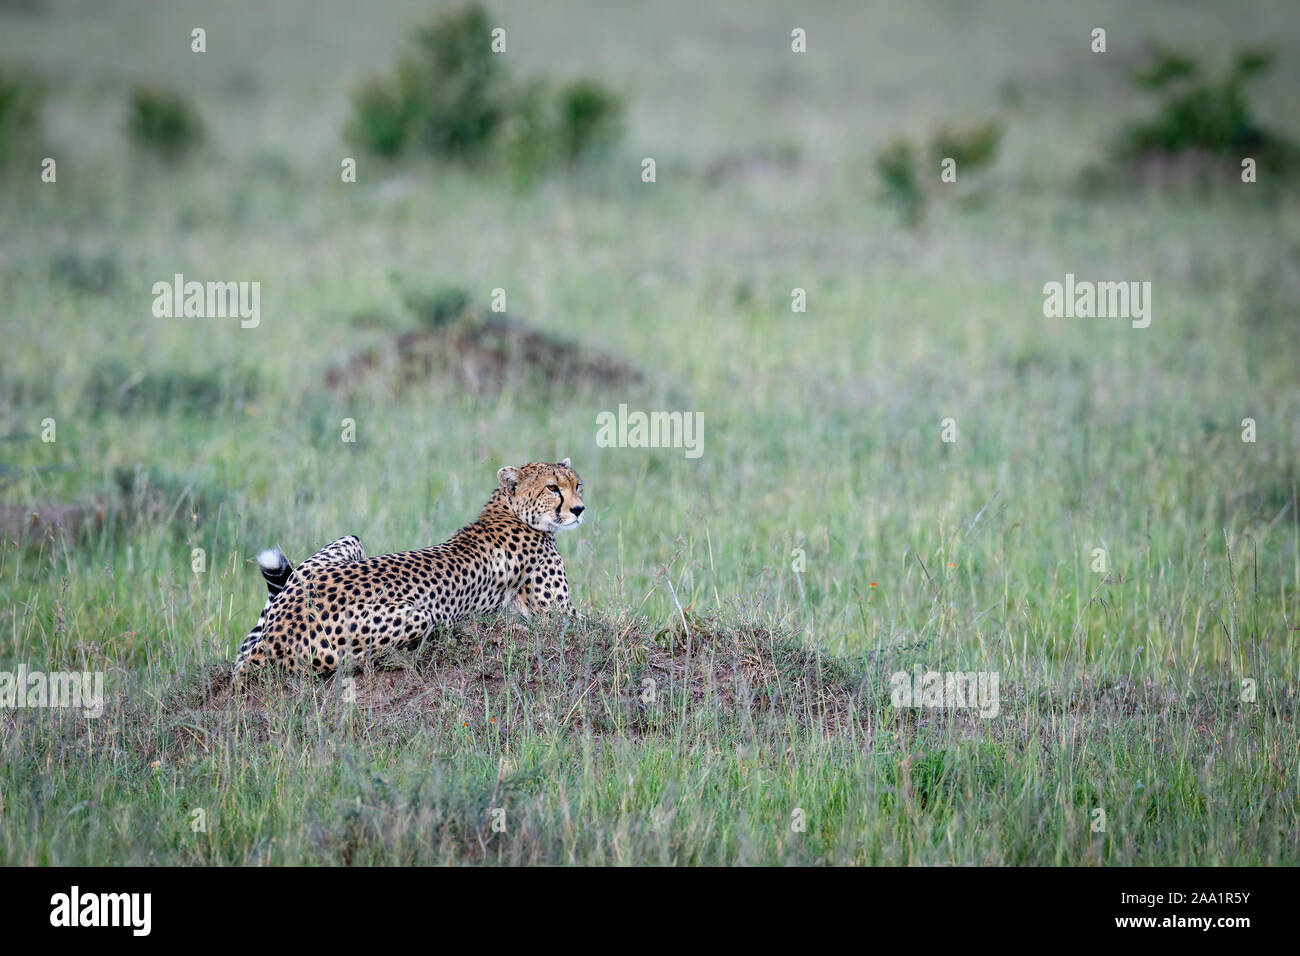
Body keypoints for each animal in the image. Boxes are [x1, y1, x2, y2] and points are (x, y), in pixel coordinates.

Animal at [231, 457, 587, 676]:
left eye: (577, 485)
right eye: (552, 487)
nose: (579, 509)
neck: (510, 509)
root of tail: (277, 630)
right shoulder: (559, 615)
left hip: (345, 544)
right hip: (419, 616)